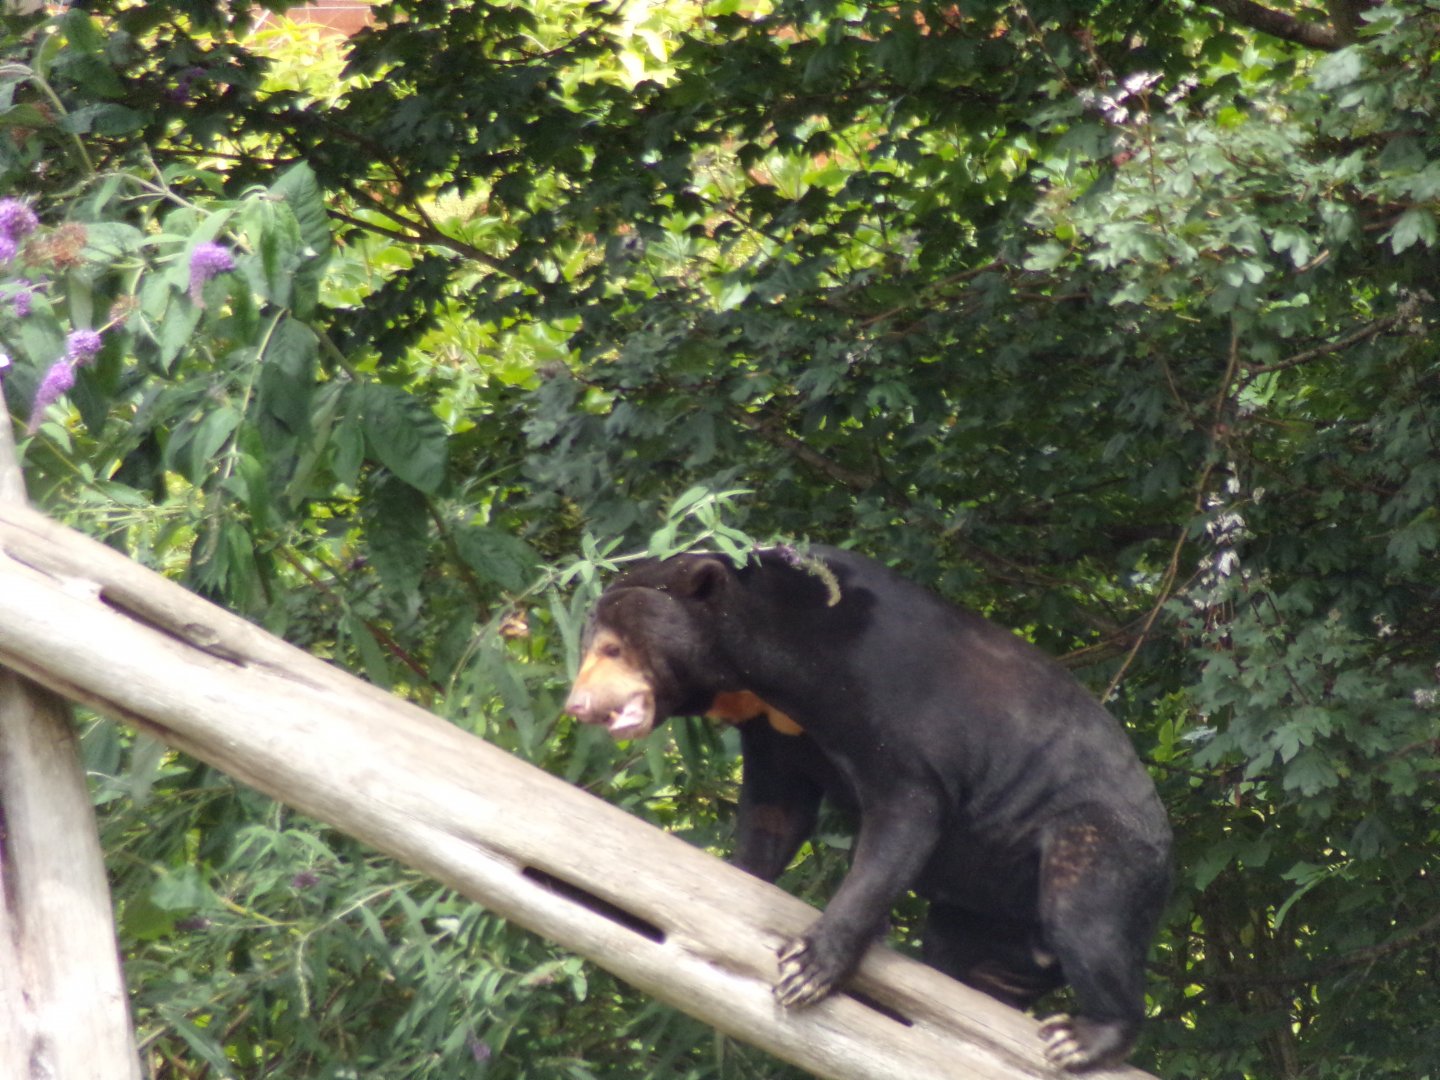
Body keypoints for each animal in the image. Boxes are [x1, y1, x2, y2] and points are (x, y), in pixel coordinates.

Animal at [564, 545, 1172, 1072]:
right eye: (588, 648)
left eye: (612, 648)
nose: (578, 705)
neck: (766, 664)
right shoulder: (778, 729)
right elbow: (775, 812)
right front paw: (739, 876)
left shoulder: (882, 698)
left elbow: (906, 814)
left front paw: (808, 968)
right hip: (987, 910)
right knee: (965, 957)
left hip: (1100, 839)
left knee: (1087, 917)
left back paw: (1088, 1035)